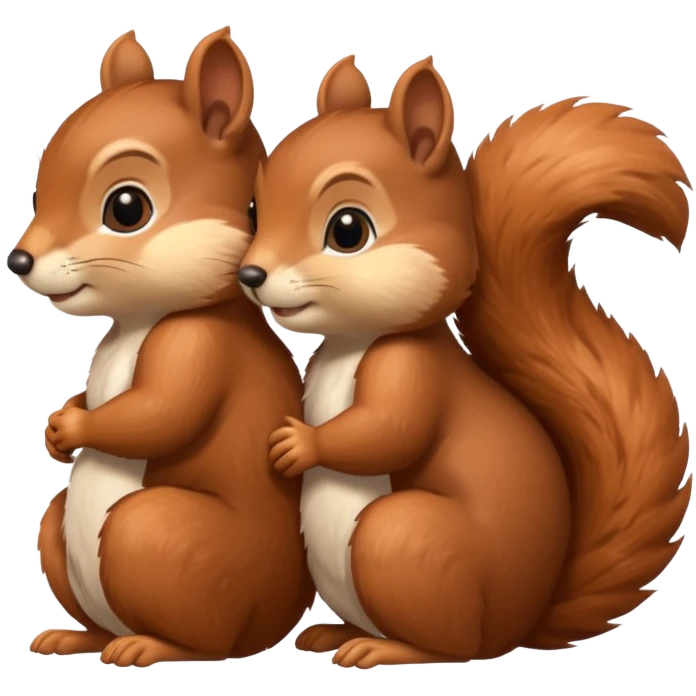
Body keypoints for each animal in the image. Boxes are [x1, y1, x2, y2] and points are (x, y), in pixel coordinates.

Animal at [12, 28, 313, 668]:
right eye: (41, 185)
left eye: (127, 208)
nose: (19, 259)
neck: (139, 320)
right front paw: (57, 429)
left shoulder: (195, 346)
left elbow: (158, 414)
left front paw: (74, 429)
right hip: (62, 531)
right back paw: (77, 637)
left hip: (155, 536)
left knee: (210, 643)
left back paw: (147, 644)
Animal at [237, 53, 693, 669]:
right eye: (255, 211)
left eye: (348, 229)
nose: (251, 274)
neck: (358, 339)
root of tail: (519, 624)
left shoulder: (409, 369)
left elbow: (388, 430)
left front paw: (298, 443)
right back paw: (333, 633)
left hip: (402, 542)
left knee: (452, 645)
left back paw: (388, 648)